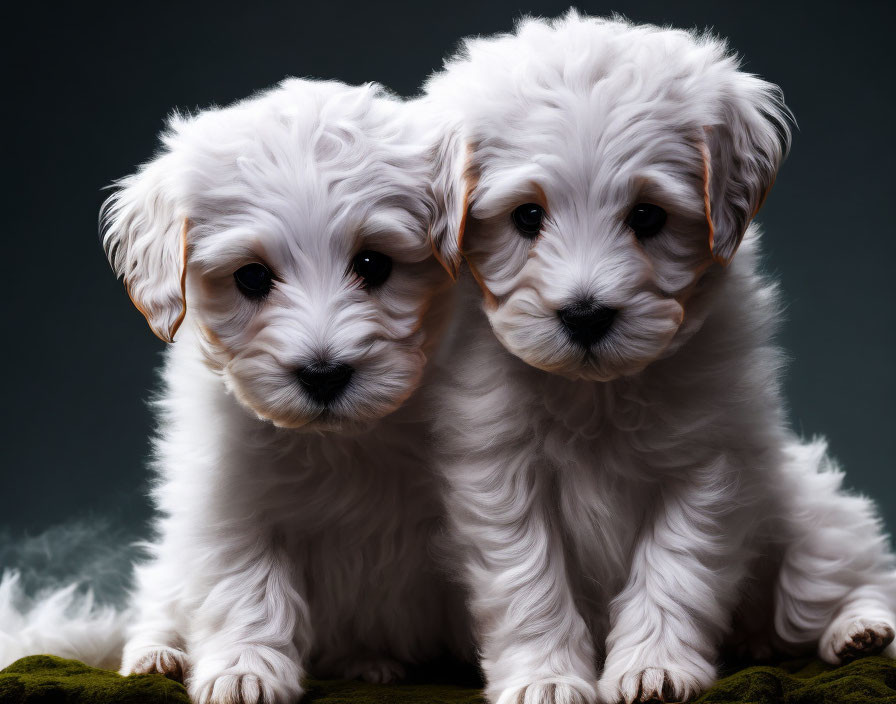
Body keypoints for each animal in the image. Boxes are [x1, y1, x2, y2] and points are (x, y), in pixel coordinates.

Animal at [100, 78, 468, 704]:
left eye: (374, 264)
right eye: (251, 277)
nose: (323, 374)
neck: (346, 439)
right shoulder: (230, 499)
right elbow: (247, 585)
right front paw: (244, 672)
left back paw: (367, 662)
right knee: (161, 597)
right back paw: (157, 655)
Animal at [424, 12, 896, 704]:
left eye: (647, 216)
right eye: (527, 217)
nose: (586, 315)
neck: (596, 392)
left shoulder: (706, 463)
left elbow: (674, 566)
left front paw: (654, 667)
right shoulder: (500, 473)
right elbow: (530, 580)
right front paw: (548, 677)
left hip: (811, 518)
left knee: (841, 577)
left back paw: (859, 630)